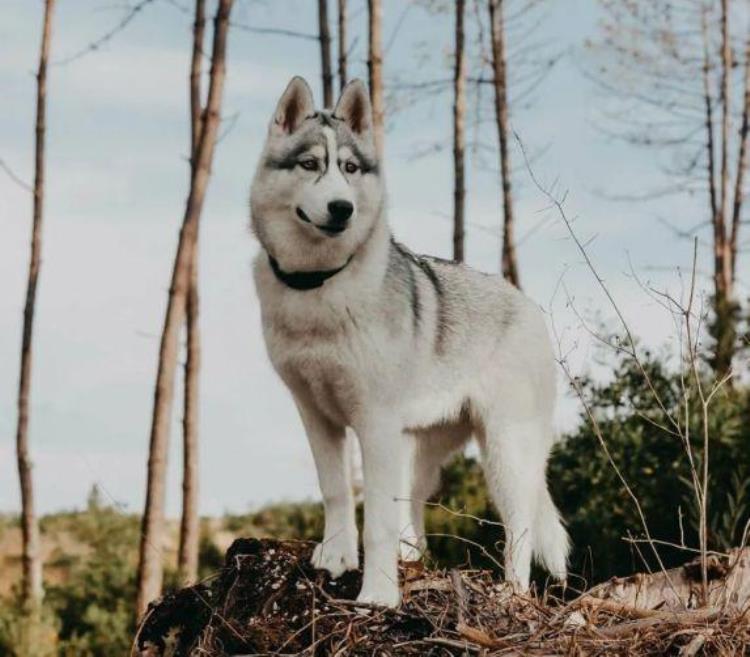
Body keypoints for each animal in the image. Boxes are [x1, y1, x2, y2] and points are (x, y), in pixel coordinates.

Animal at [253, 75, 568, 604]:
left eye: (350, 168)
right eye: (311, 164)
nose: (342, 208)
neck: (319, 285)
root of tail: (526, 304)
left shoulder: (373, 422)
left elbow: (376, 520)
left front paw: (378, 597)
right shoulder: (316, 415)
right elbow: (336, 492)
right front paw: (336, 558)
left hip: (503, 454)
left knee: (519, 529)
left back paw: (512, 592)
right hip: (418, 451)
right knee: (415, 524)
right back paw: (413, 562)